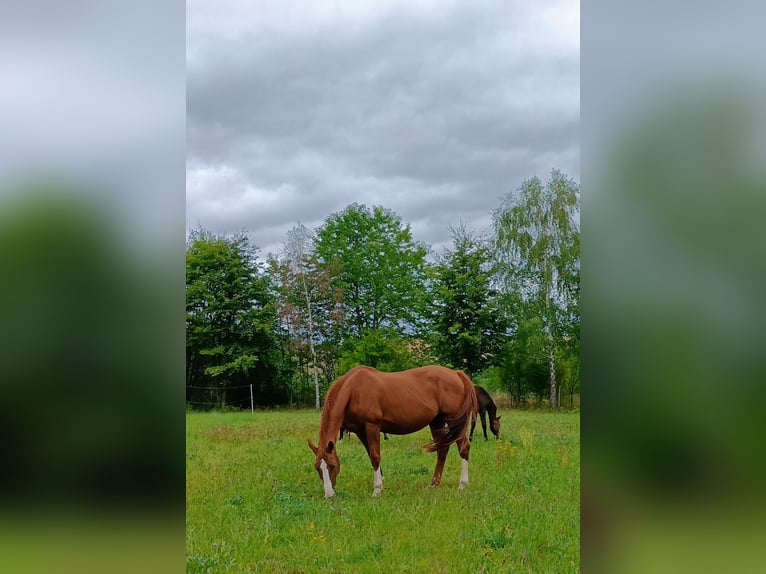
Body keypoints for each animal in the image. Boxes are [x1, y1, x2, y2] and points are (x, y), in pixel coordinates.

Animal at [308, 368, 476, 500]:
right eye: (317, 468)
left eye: (332, 466)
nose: (329, 495)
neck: (354, 390)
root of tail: (456, 373)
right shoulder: (361, 431)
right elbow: (371, 455)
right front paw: (381, 483)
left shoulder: (372, 426)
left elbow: (375, 456)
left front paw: (376, 489)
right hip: (437, 422)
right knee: (442, 450)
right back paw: (434, 483)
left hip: (454, 421)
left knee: (463, 448)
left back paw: (462, 485)